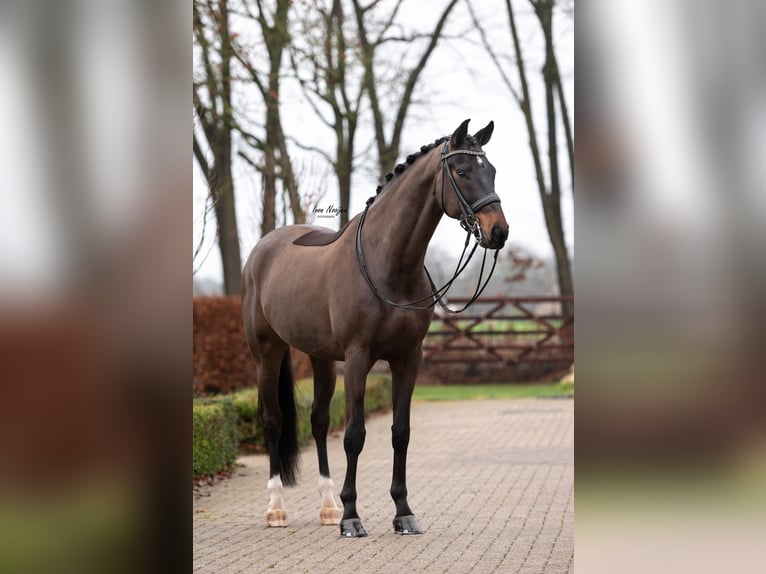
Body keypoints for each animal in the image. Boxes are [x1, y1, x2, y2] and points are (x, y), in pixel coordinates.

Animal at [243, 119, 508, 536]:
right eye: (463, 171)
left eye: (492, 171)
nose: (498, 232)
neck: (390, 263)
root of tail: (263, 249)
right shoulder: (358, 358)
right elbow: (354, 435)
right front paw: (352, 517)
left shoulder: (408, 358)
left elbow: (401, 433)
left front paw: (403, 512)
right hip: (267, 353)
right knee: (274, 422)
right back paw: (276, 509)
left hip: (320, 358)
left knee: (319, 421)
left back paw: (328, 506)